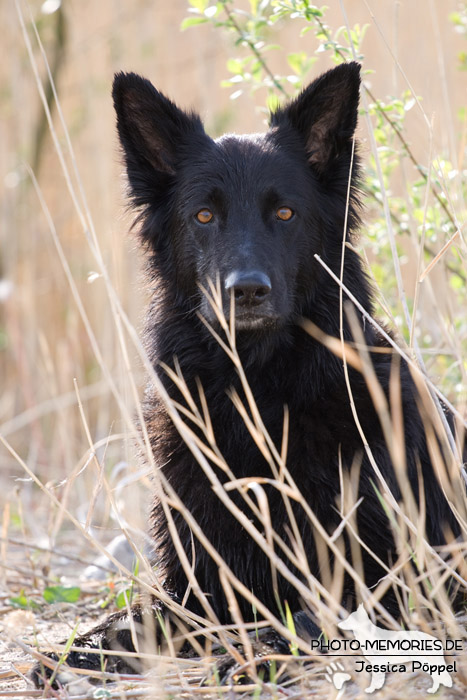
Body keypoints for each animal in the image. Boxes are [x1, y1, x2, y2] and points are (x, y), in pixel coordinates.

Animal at [32, 63, 464, 688]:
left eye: (285, 213)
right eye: (203, 216)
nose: (247, 291)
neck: (259, 389)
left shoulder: (399, 578)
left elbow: (305, 620)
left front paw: (255, 654)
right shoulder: (198, 581)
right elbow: (135, 619)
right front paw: (77, 652)